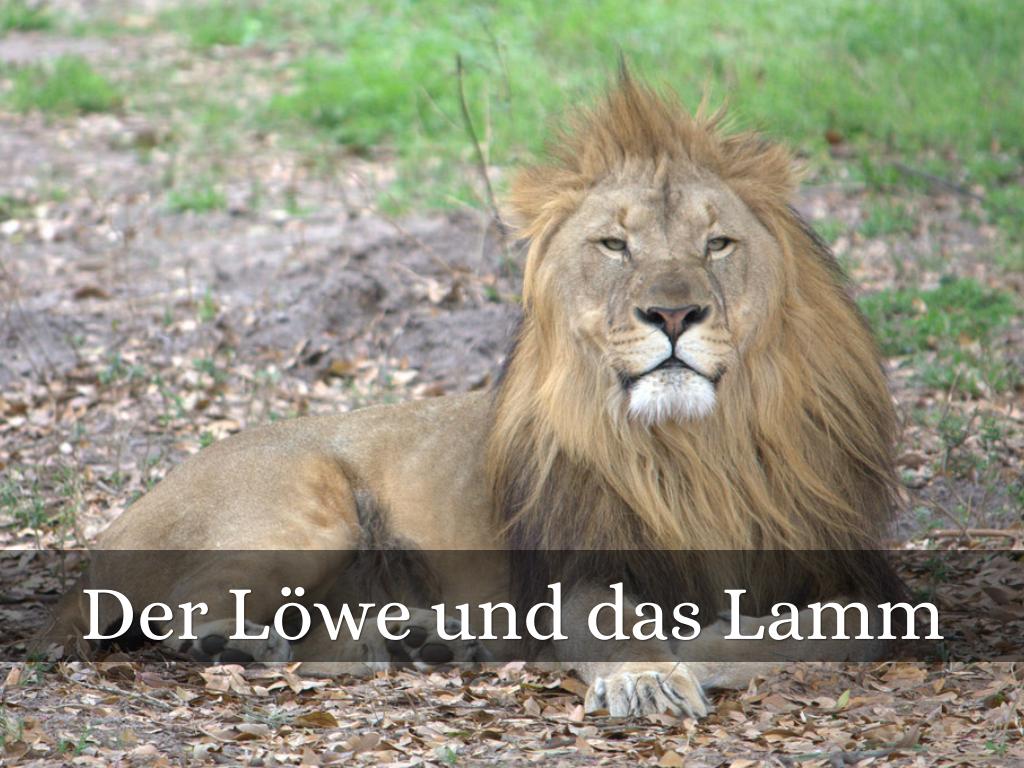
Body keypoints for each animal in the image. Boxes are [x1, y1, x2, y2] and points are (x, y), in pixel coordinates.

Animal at [48, 73, 903, 718]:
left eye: (717, 243)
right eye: (615, 244)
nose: (671, 314)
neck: (701, 447)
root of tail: (118, 525)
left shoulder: (849, 569)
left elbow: (836, 627)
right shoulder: (578, 566)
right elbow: (622, 625)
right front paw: (647, 673)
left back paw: (423, 637)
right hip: (306, 509)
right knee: (184, 610)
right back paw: (247, 641)